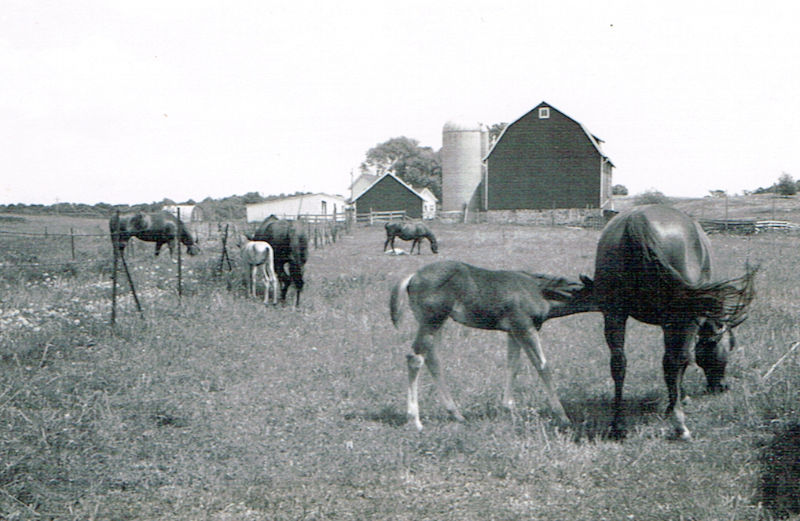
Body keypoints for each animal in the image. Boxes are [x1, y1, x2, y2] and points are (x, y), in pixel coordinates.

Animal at [390, 260, 597, 431]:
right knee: (415, 358)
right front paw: (562, 416)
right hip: (431, 321)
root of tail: (412, 277)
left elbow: (513, 366)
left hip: (437, 323)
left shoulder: (513, 332)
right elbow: (542, 366)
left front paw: (508, 408)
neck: (540, 292)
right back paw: (415, 421)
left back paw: (456, 414)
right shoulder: (525, 327)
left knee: (433, 359)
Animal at [582, 204, 757, 441]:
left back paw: (618, 425)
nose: (722, 387)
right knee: (674, 360)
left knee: (619, 363)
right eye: (728, 347)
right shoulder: (684, 320)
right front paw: (677, 401)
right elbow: (682, 360)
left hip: (614, 314)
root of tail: (636, 220)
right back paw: (679, 424)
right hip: (680, 317)